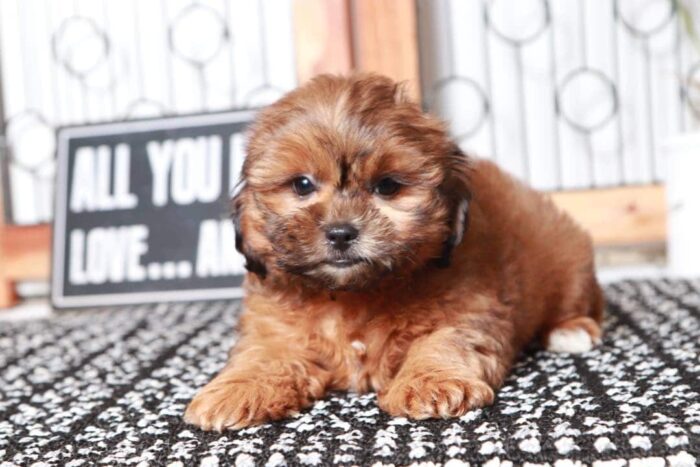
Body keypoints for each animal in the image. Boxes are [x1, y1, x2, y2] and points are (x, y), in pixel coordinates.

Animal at [183, 74, 604, 432]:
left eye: (387, 186)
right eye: (302, 185)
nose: (341, 233)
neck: (352, 295)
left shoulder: (470, 304)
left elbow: (445, 340)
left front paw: (431, 383)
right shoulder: (273, 325)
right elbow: (261, 353)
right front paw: (236, 389)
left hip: (567, 260)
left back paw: (571, 330)